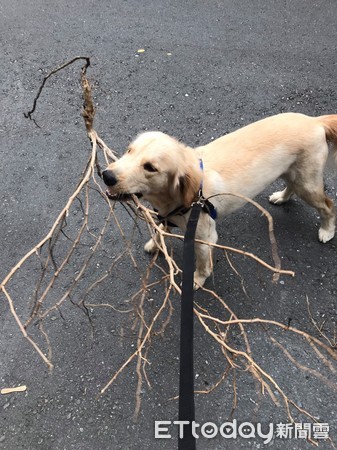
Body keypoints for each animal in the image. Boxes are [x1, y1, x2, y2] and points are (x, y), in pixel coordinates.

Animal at [101, 113, 336, 288]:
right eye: (129, 150)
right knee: (293, 188)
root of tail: (314, 120)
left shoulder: (204, 237)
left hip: (308, 185)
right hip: (293, 174)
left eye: (150, 167)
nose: (106, 175)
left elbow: (202, 264)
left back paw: (327, 230)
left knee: (328, 206)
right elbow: (160, 230)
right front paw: (154, 244)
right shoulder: (166, 216)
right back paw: (281, 197)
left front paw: (197, 279)